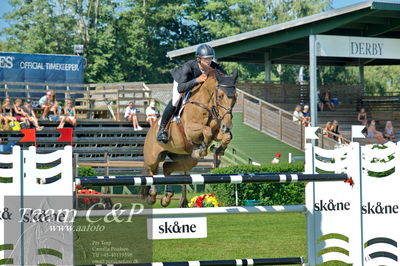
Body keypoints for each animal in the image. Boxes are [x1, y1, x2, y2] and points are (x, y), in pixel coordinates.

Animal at [144, 68, 238, 208]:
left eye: (236, 97)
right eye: (220, 96)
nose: (226, 126)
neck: (206, 105)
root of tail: (150, 129)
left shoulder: (217, 131)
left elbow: (225, 136)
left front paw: (218, 149)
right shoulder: (189, 130)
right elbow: (207, 131)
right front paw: (202, 150)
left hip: (186, 160)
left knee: (166, 167)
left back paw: (167, 197)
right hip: (153, 157)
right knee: (152, 172)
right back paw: (152, 196)